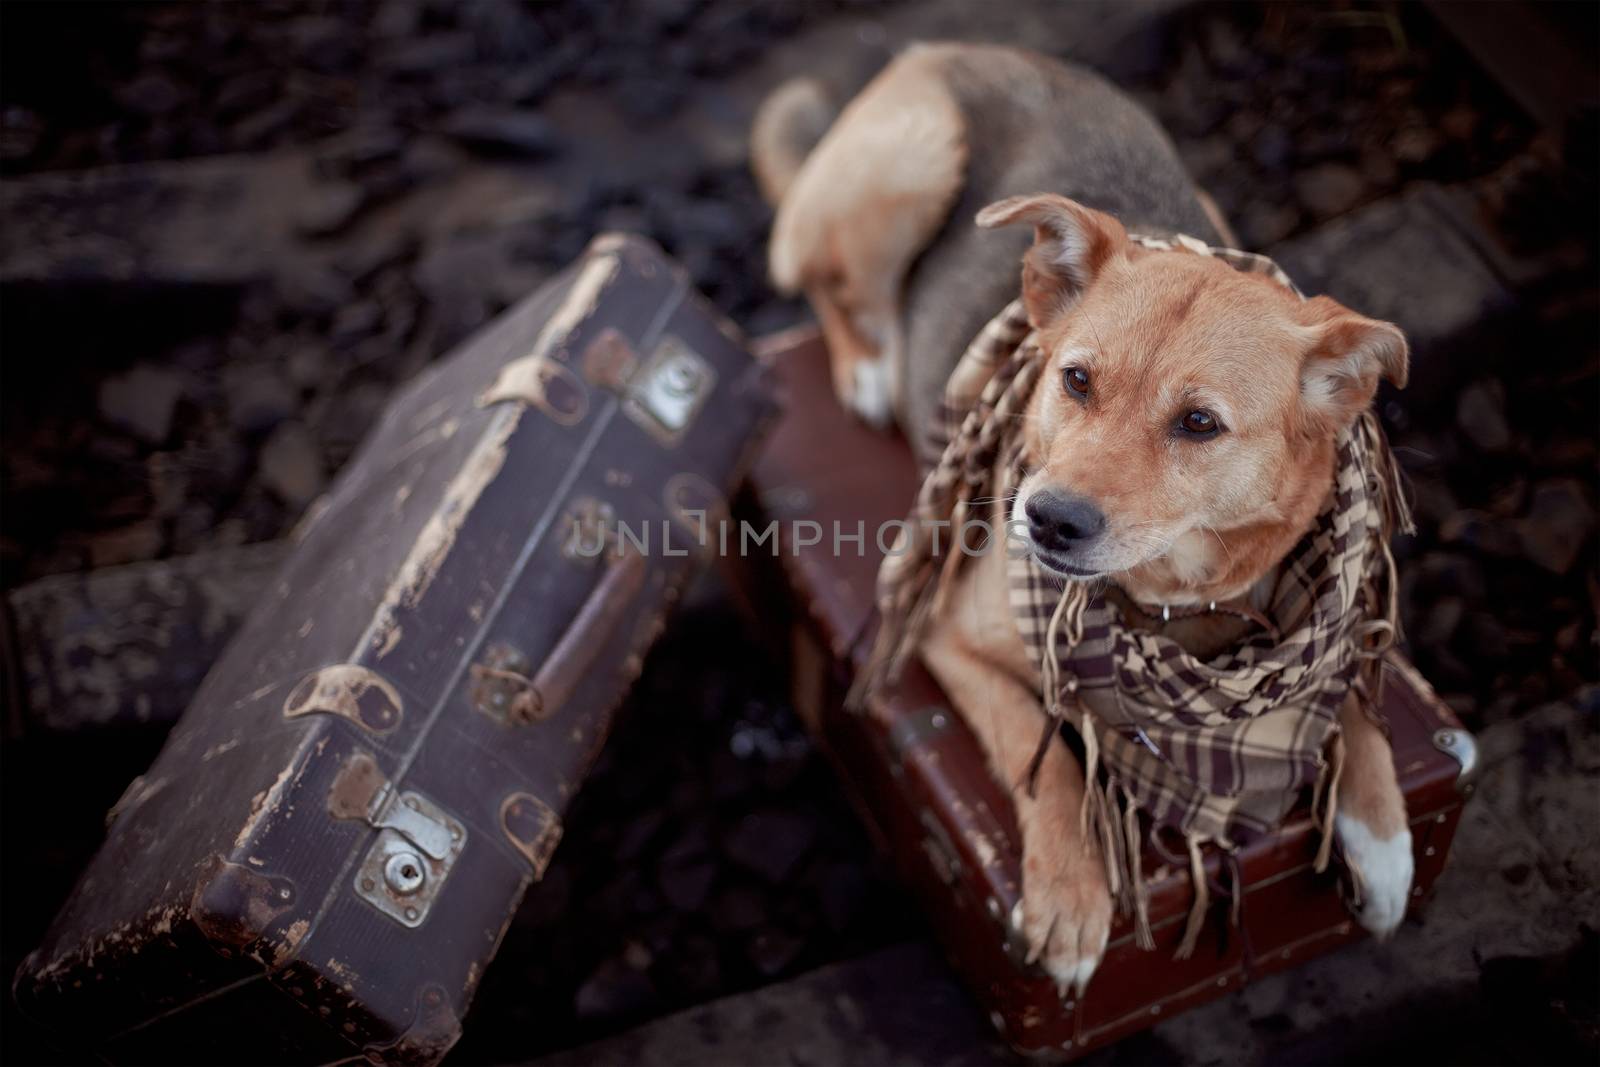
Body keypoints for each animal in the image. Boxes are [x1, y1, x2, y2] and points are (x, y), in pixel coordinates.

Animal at [752, 41, 1414, 991]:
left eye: (1199, 423)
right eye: (1074, 379)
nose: (1048, 519)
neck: (1182, 606)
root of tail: (941, 48)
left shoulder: (1341, 610)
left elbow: (1356, 694)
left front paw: (1384, 833)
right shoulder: (951, 637)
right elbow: (1048, 761)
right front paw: (1069, 896)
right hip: (912, 159)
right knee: (827, 282)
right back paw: (872, 361)